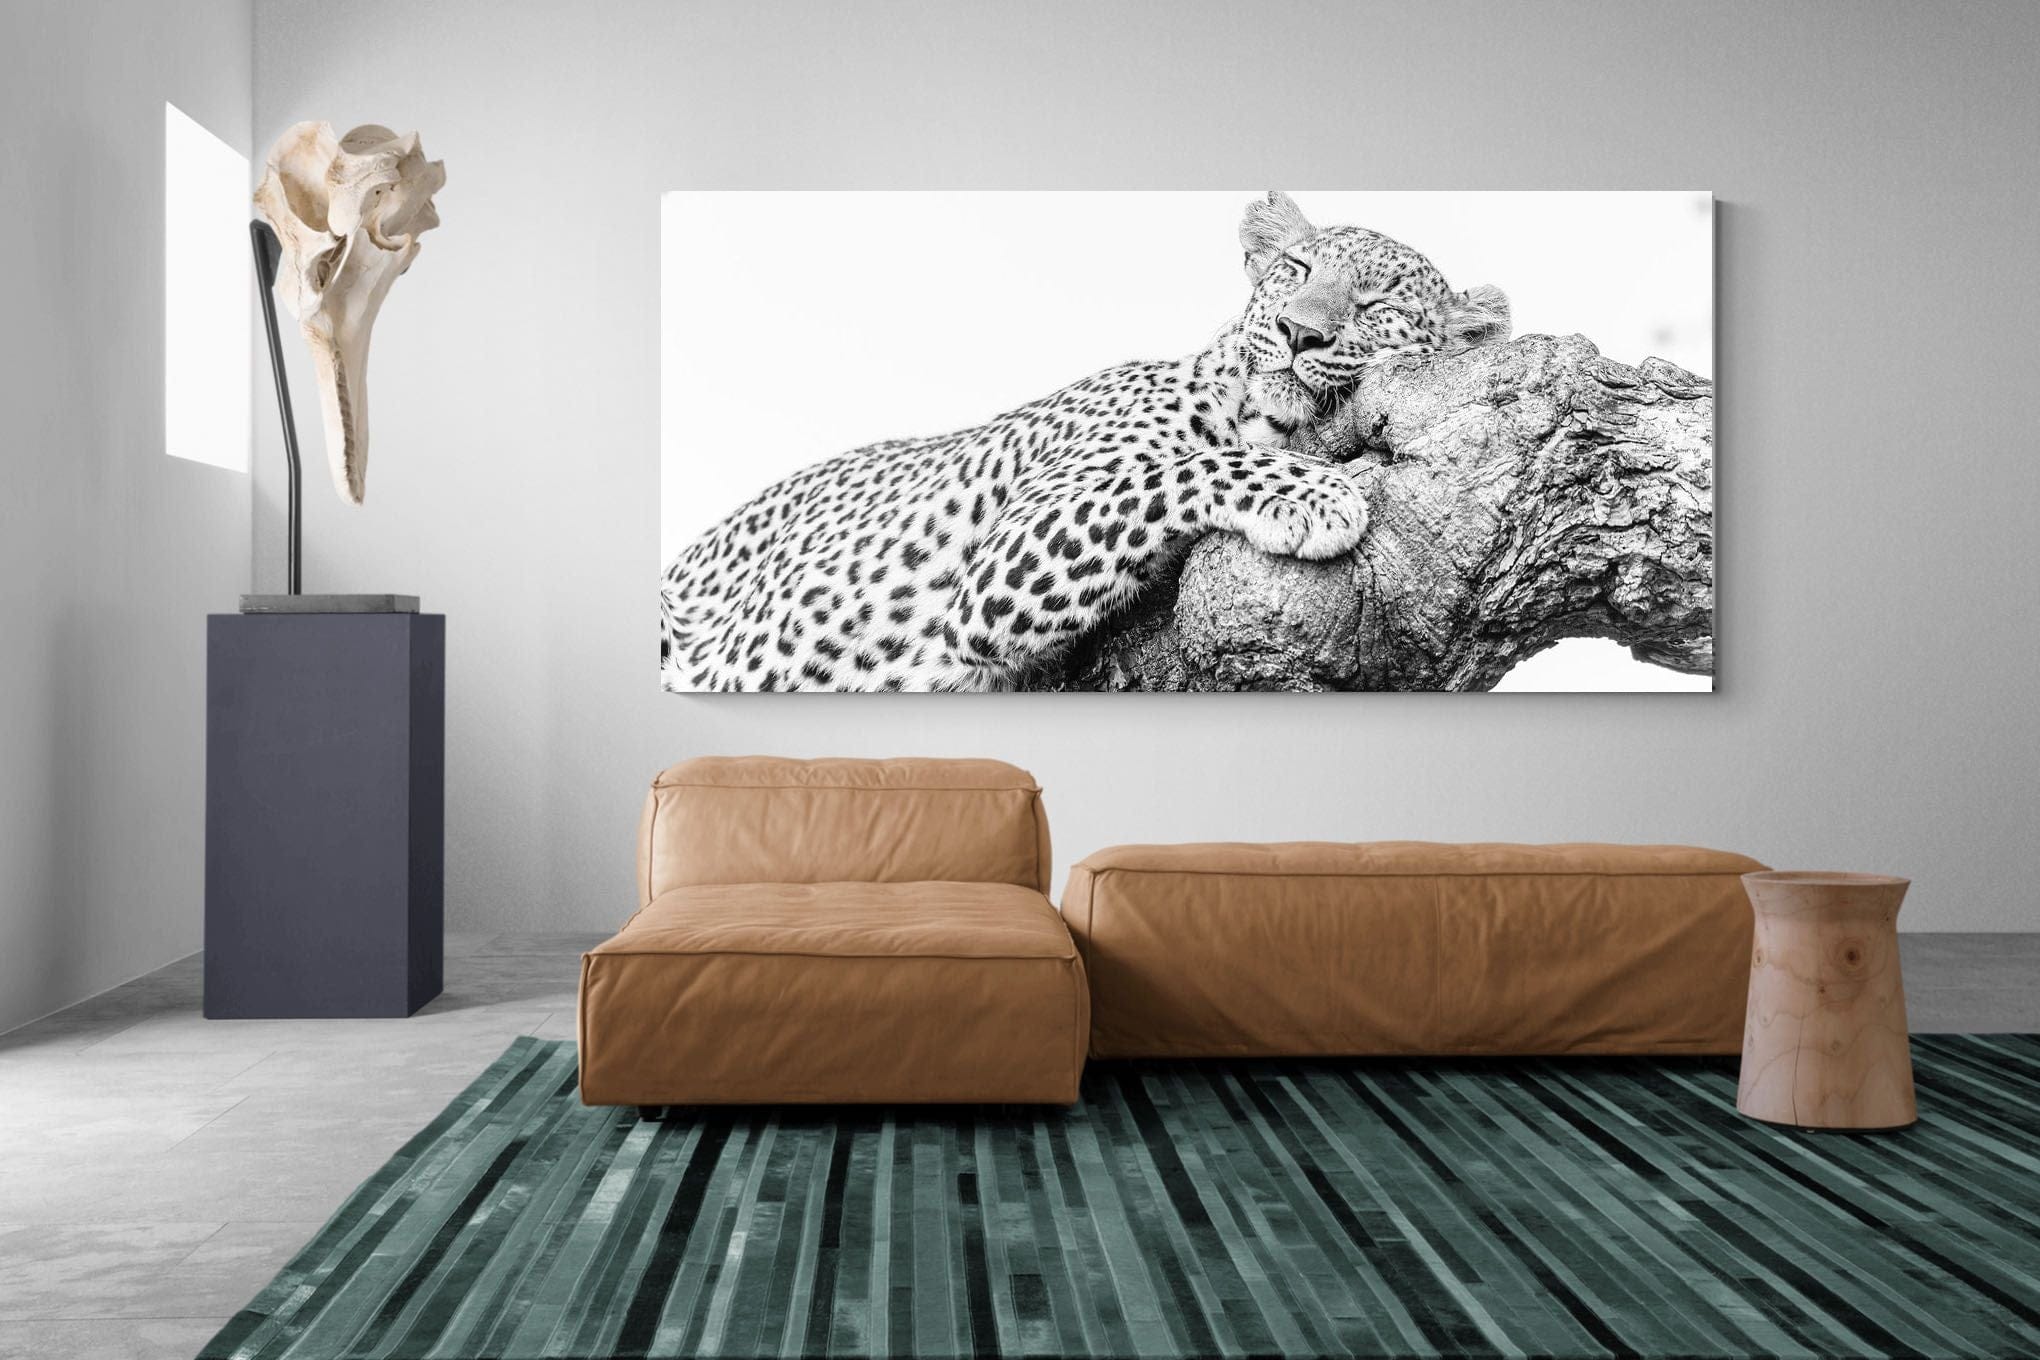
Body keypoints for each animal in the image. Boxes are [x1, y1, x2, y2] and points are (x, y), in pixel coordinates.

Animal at [660, 191, 1511, 691]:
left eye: (1377, 305)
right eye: (1296, 269)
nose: (1298, 332)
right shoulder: (997, 572)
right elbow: (1179, 468)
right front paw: (1313, 492)